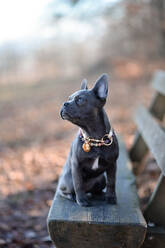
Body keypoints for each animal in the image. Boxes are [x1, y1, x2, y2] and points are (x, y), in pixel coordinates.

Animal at [59, 74, 118, 206]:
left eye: (80, 100)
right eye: (68, 98)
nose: (64, 103)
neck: (94, 138)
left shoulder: (112, 164)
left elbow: (111, 182)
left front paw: (111, 197)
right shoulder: (76, 165)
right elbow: (78, 184)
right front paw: (81, 200)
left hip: (101, 179)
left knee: (97, 189)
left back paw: (100, 195)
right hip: (68, 181)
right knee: (65, 190)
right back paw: (72, 196)